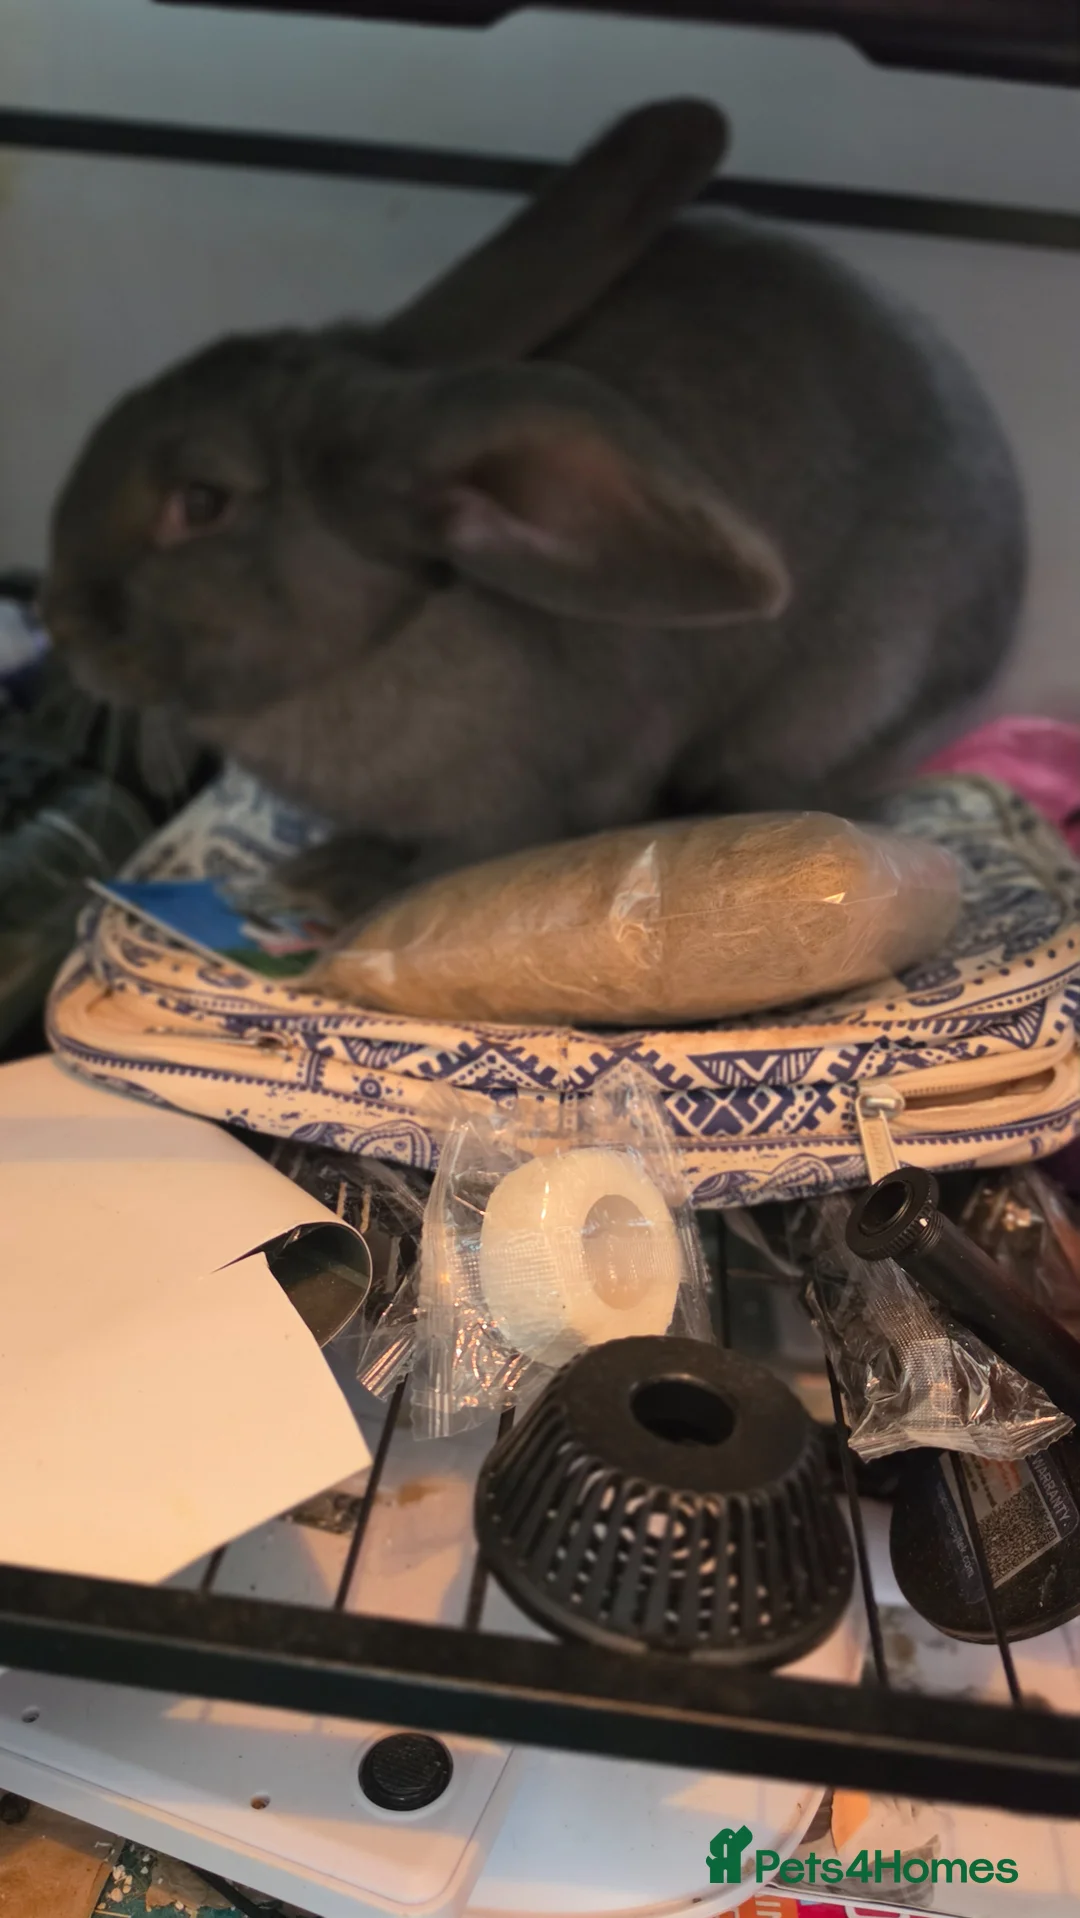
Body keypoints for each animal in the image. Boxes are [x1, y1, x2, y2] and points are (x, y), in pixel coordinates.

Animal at [44, 97, 1025, 924]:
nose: (60, 626)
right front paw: (319, 870)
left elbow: (456, 858)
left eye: (201, 502)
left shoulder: (522, 804)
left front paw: (347, 896)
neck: (386, 638)